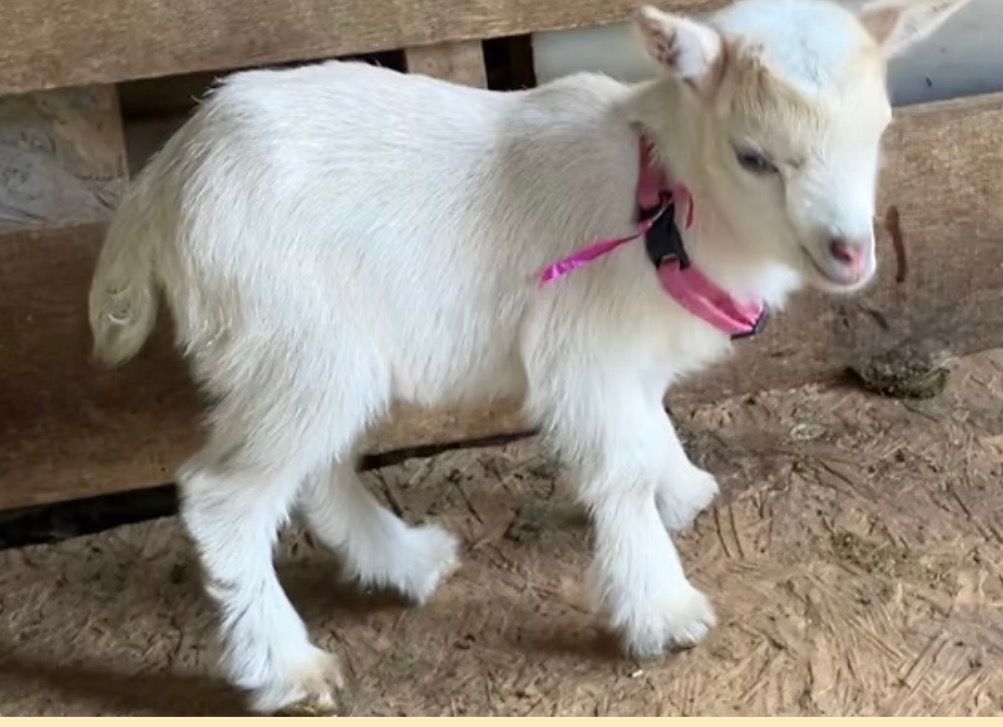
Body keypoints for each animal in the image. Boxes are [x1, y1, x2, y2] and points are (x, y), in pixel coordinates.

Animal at [88, 0, 969, 714]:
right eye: (753, 155)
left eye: (879, 132)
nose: (849, 252)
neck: (664, 194)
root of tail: (162, 185)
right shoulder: (581, 344)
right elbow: (620, 467)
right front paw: (660, 609)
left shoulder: (625, 358)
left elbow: (650, 423)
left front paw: (681, 489)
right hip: (293, 341)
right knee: (226, 497)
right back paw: (286, 667)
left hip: (316, 357)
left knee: (316, 468)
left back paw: (405, 561)